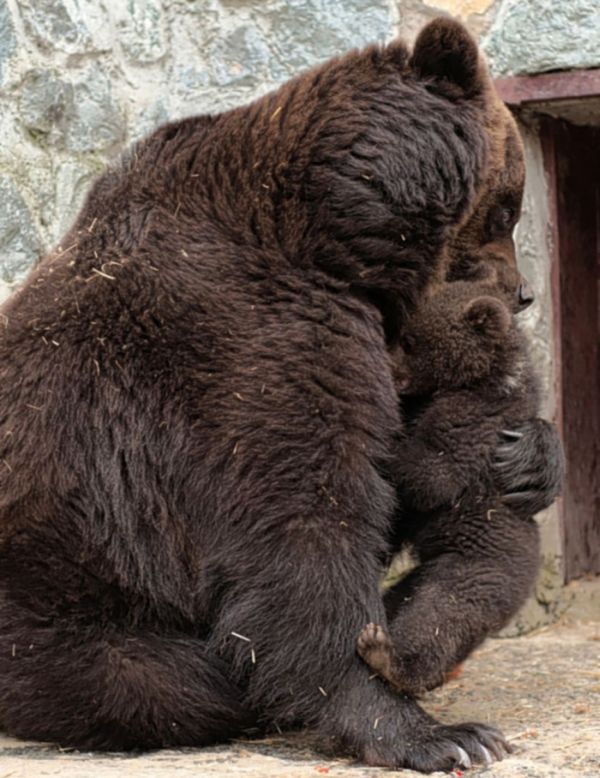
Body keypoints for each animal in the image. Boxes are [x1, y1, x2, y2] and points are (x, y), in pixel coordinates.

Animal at [0, 18, 564, 768]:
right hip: (64, 596)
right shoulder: (241, 344)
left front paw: (532, 457)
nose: (524, 291)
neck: (327, 238)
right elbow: (301, 525)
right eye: (507, 208)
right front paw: (435, 734)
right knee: (161, 680)